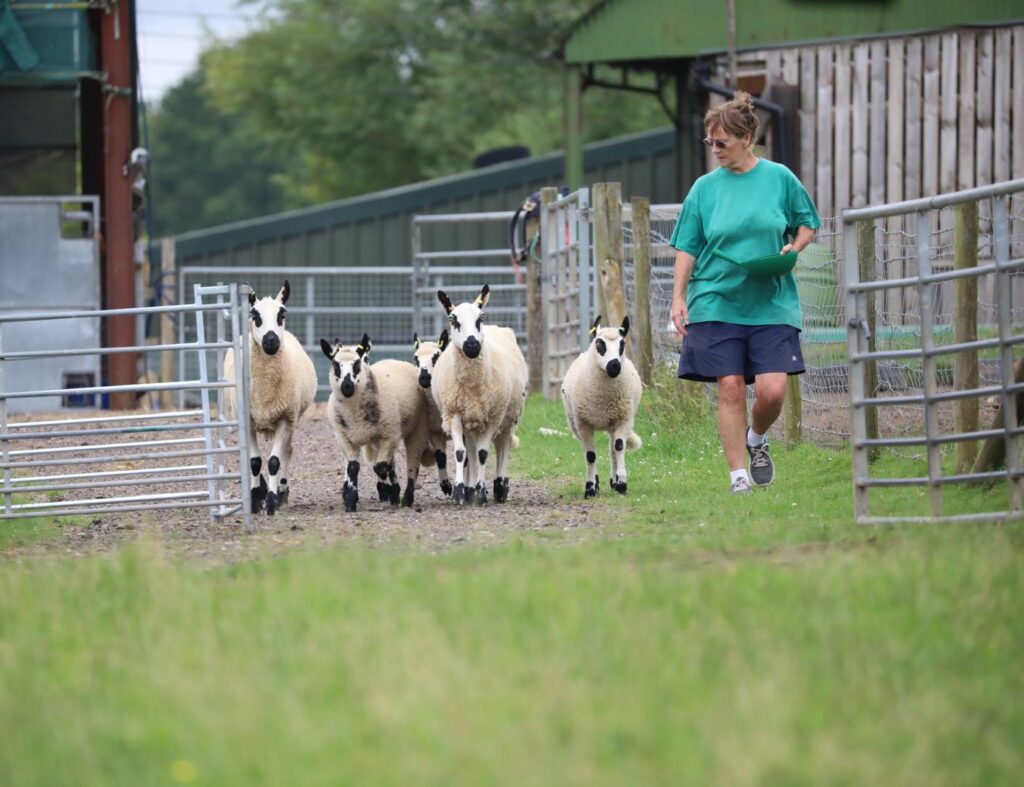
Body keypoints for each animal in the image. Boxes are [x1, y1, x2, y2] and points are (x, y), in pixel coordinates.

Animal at [222, 280, 317, 516]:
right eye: (254, 315)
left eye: (282, 314)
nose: (271, 341)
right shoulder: (248, 421)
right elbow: (254, 462)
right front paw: (256, 499)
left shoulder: (285, 418)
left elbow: (274, 461)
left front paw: (273, 501)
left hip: (292, 418)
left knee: (287, 452)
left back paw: (282, 492)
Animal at [320, 334, 434, 512]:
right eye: (335, 364)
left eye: (357, 363)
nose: (347, 386)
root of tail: (394, 360)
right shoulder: (344, 437)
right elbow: (353, 467)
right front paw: (350, 500)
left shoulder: (390, 435)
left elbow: (380, 467)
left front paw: (391, 492)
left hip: (413, 428)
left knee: (404, 461)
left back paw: (399, 494)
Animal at [432, 284, 528, 506]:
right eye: (453, 319)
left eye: (480, 318)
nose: (472, 346)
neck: (471, 386)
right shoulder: (455, 413)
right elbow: (461, 453)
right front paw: (460, 492)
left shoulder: (493, 416)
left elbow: (484, 454)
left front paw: (481, 494)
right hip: (471, 419)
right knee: (471, 451)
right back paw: (469, 489)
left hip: (509, 415)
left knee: (503, 446)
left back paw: (500, 487)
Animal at [560, 315, 643, 498]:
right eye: (599, 344)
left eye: (622, 344)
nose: (614, 366)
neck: (603, 400)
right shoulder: (583, 423)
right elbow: (590, 455)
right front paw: (590, 487)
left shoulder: (623, 419)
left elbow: (619, 447)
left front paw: (621, 484)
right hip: (575, 423)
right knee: (589, 452)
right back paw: (598, 482)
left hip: (613, 423)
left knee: (613, 450)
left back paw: (614, 481)